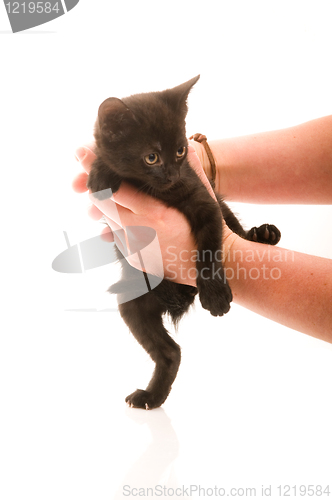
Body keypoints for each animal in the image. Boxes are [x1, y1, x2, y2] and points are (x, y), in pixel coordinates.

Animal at [87, 76, 280, 408]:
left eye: (180, 151)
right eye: (151, 157)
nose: (172, 175)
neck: (155, 189)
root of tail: (177, 298)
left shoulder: (204, 202)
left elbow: (210, 250)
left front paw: (215, 294)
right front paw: (101, 173)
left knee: (235, 228)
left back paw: (262, 234)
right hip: (132, 299)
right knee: (171, 352)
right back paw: (151, 397)